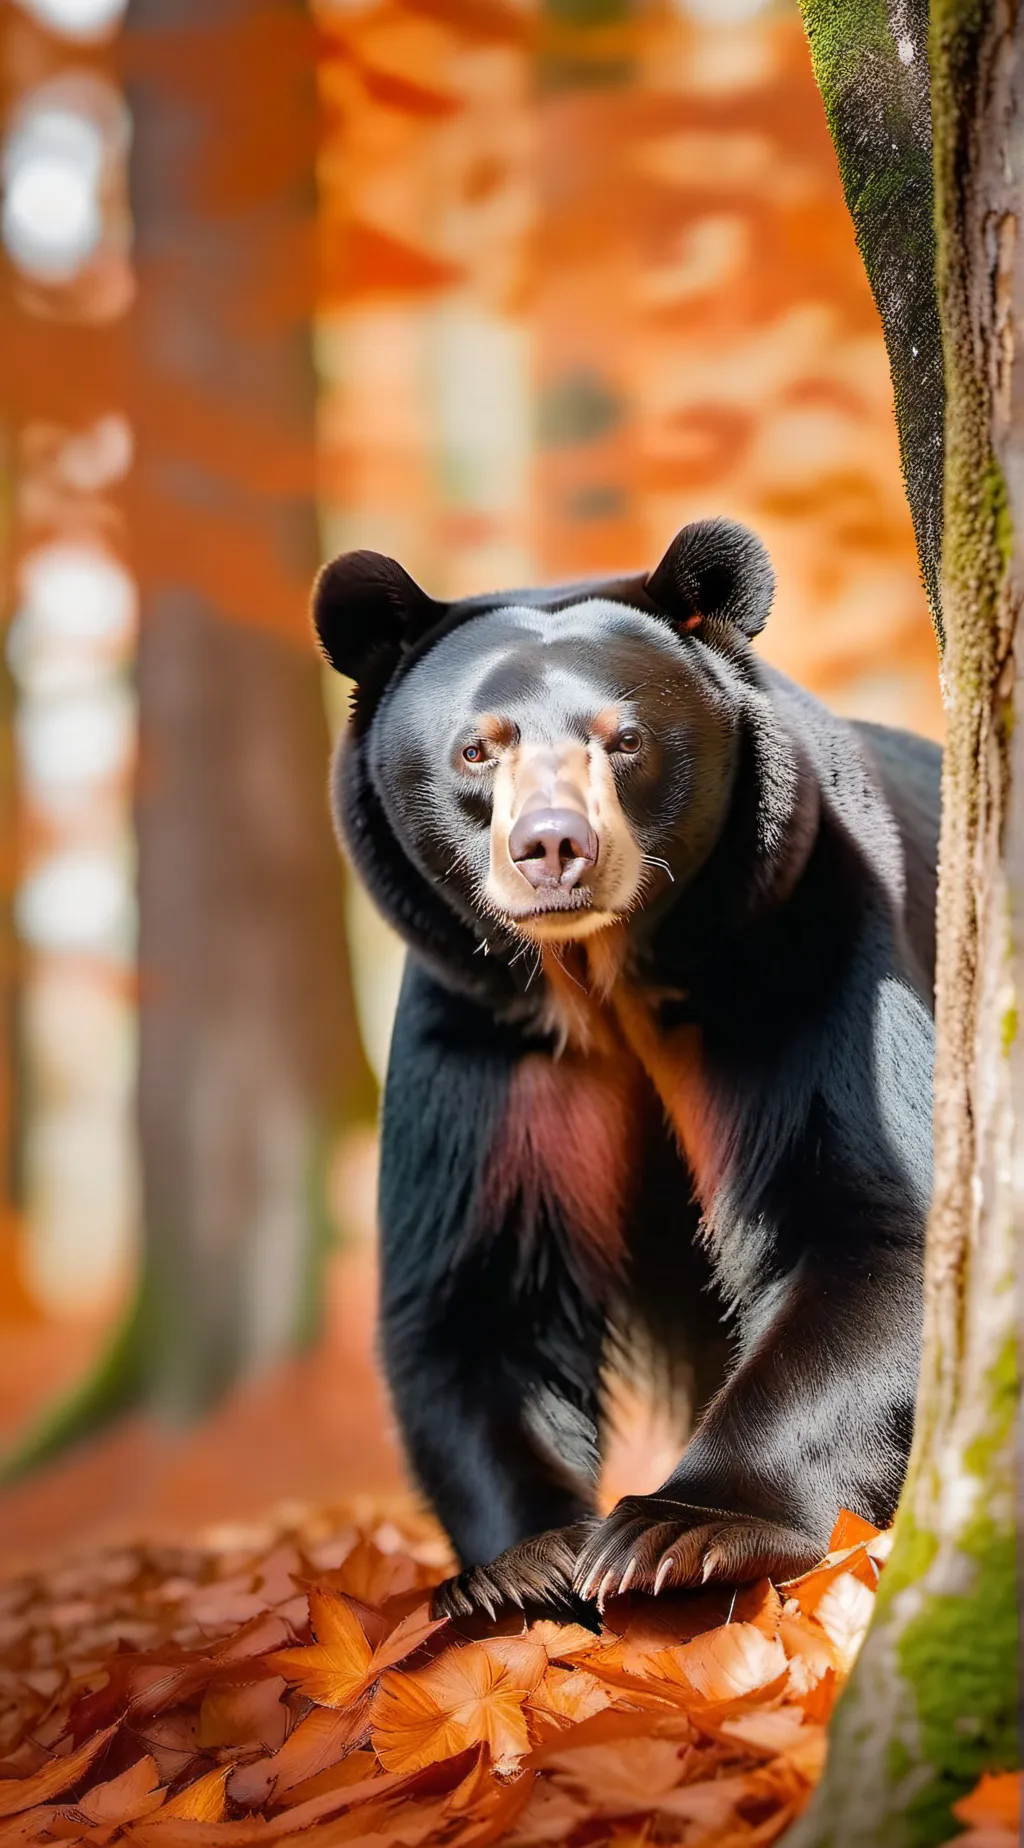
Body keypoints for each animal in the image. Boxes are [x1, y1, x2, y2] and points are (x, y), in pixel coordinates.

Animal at [313, 518, 939, 1623]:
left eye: (625, 740)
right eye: (478, 747)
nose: (551, 848)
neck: (604, 981)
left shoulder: (802, 952)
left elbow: (868, 1225)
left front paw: (676, 1534)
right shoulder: (488, 1039)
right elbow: (477, 1294)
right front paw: (523, 1566)